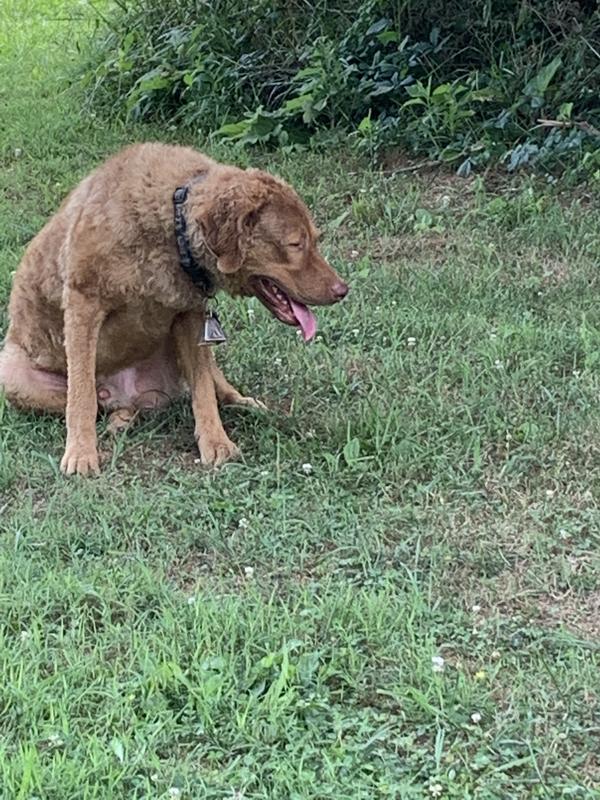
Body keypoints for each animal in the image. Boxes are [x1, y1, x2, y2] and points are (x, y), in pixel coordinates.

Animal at [0, 142, 350, 476]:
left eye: (315, 239)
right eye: (295, 244)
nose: (342, 290)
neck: (173, 226)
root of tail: (123, 394)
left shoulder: (191, 315)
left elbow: (203, 389)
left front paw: (216, 443)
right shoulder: (83, 303)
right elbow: (82, 395)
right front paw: (81, 453)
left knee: (208, 379)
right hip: (11, 373)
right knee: (96, 402)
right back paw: (118, 419)